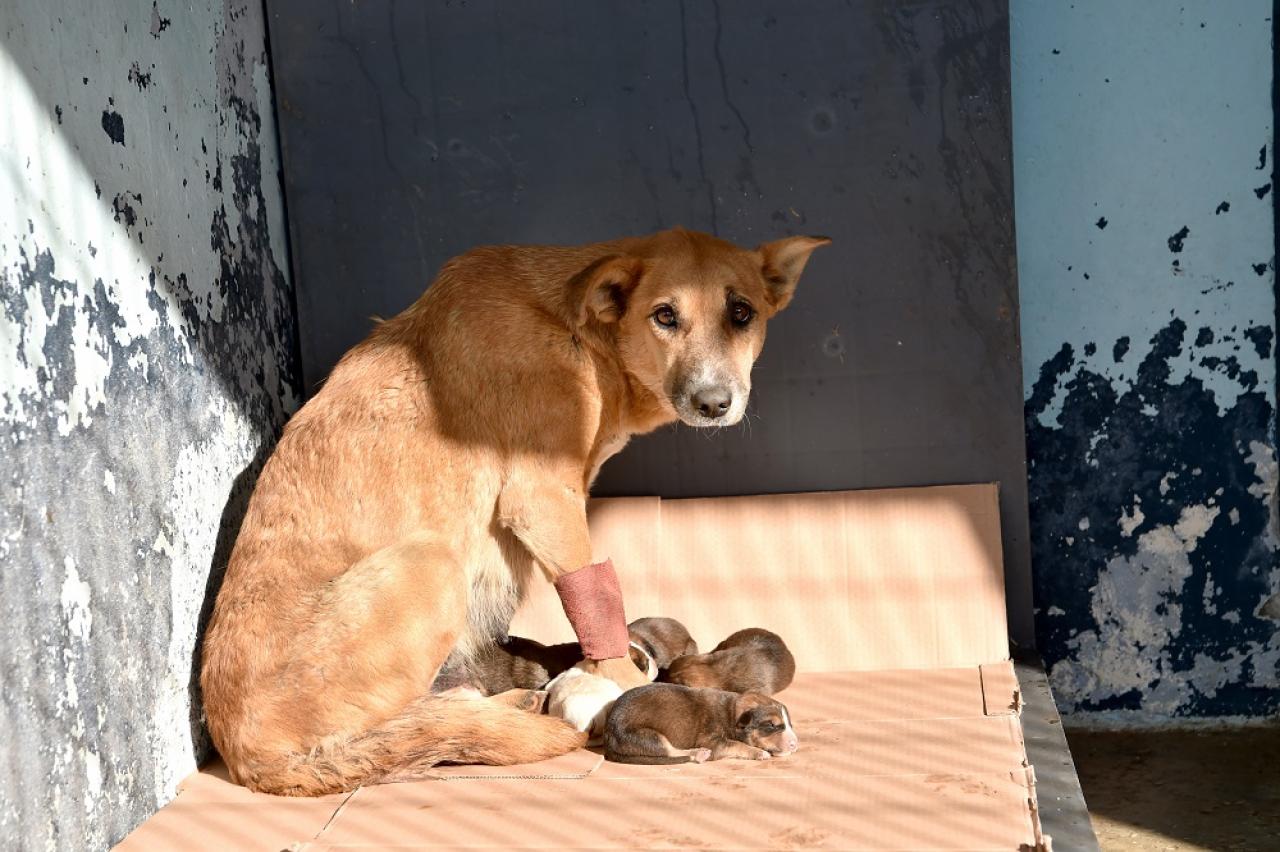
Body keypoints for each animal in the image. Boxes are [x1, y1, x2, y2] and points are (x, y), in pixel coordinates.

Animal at [601, 675, 798, 762]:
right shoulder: (712, 741)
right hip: (648, 736)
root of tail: (608, 735)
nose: (795, 745)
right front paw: (760, 753)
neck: (731, 713)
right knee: (671, 751)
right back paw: (699, 754)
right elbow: (737, 745)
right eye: (771, 725)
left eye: (790, 724)